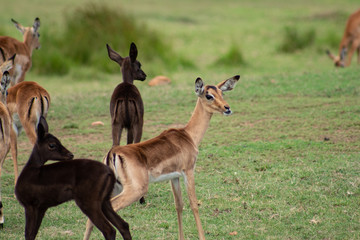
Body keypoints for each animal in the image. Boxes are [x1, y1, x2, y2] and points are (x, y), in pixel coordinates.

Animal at [83, 75, 240, 240]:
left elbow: (179, 205)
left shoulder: (174, 177)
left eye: (222, 94)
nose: (227, 108)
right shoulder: (189, 171)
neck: (188, 135)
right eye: (209, 95)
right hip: (134, 190)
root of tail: (112, 154)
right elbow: (194, 204)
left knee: (91, 218)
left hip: (115, 188)